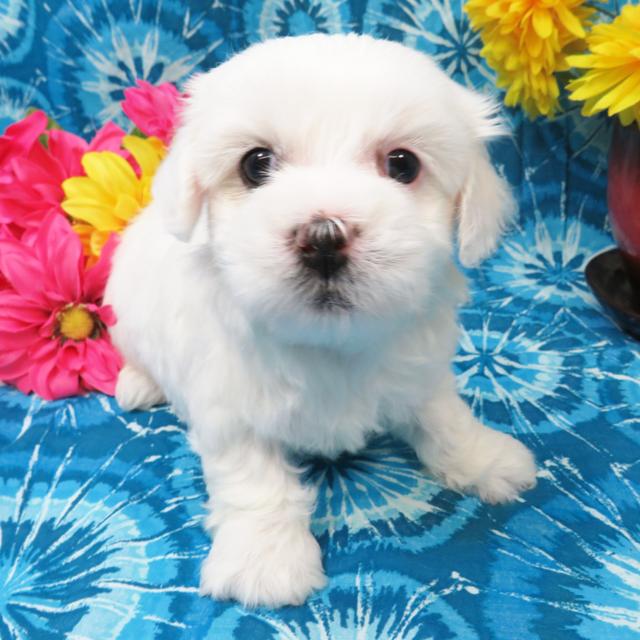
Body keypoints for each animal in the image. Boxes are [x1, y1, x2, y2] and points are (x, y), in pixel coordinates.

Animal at [105, 35, 536, 608]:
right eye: (256, 164)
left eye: (403, 164)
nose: (324, 237)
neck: (329, 342)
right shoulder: (230, 409)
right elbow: (256, 481)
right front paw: (265, 560)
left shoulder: (420, 372)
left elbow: (445, 419)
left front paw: (485, 459)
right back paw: (139, 382)